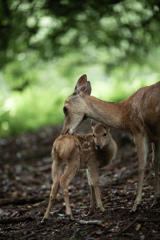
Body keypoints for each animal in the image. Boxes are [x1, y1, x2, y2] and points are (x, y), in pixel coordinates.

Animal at [62, 74, 160, 212]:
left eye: (64, 108)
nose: (64, 131)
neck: (124, 115)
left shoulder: (139, 131)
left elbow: (141, 166)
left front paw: (136, 205)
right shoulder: (155, 137)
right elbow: (155, 162)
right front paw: (156, 199)